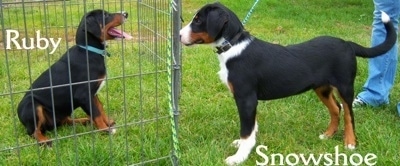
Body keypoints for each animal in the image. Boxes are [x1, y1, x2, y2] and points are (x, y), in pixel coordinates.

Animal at [179, 1, 396, 165]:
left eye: (198, 20)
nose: (179, 35)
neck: (233, 46)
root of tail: (347, 44)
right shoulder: (250, 100)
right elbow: (252, 127)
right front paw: (243, 146)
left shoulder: (246, 98)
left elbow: (246, 130)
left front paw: (239, 157)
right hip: (322, 88)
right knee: (336, 109)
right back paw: (327, 134)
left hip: (345, 86)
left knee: (349, 114)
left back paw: (350, 142)